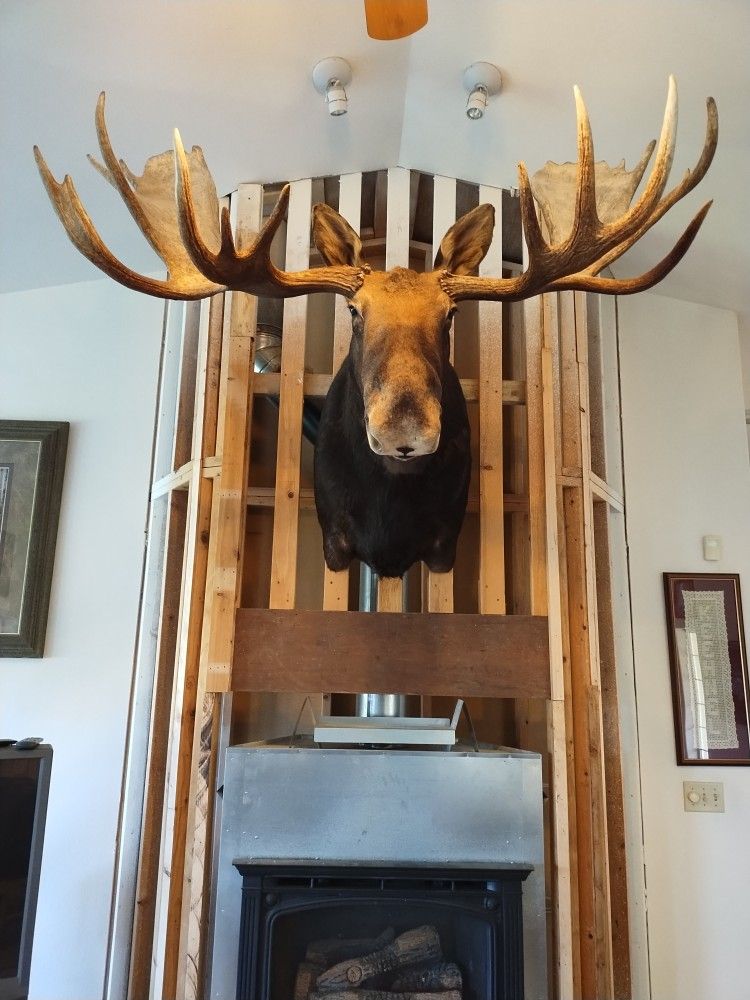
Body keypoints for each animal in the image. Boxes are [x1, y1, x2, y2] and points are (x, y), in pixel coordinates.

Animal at [35, 78, 717, 577]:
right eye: (355, 313)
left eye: (449, 316)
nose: (404, 432)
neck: (392, 510)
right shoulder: (335, 538)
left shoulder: (446, 542)